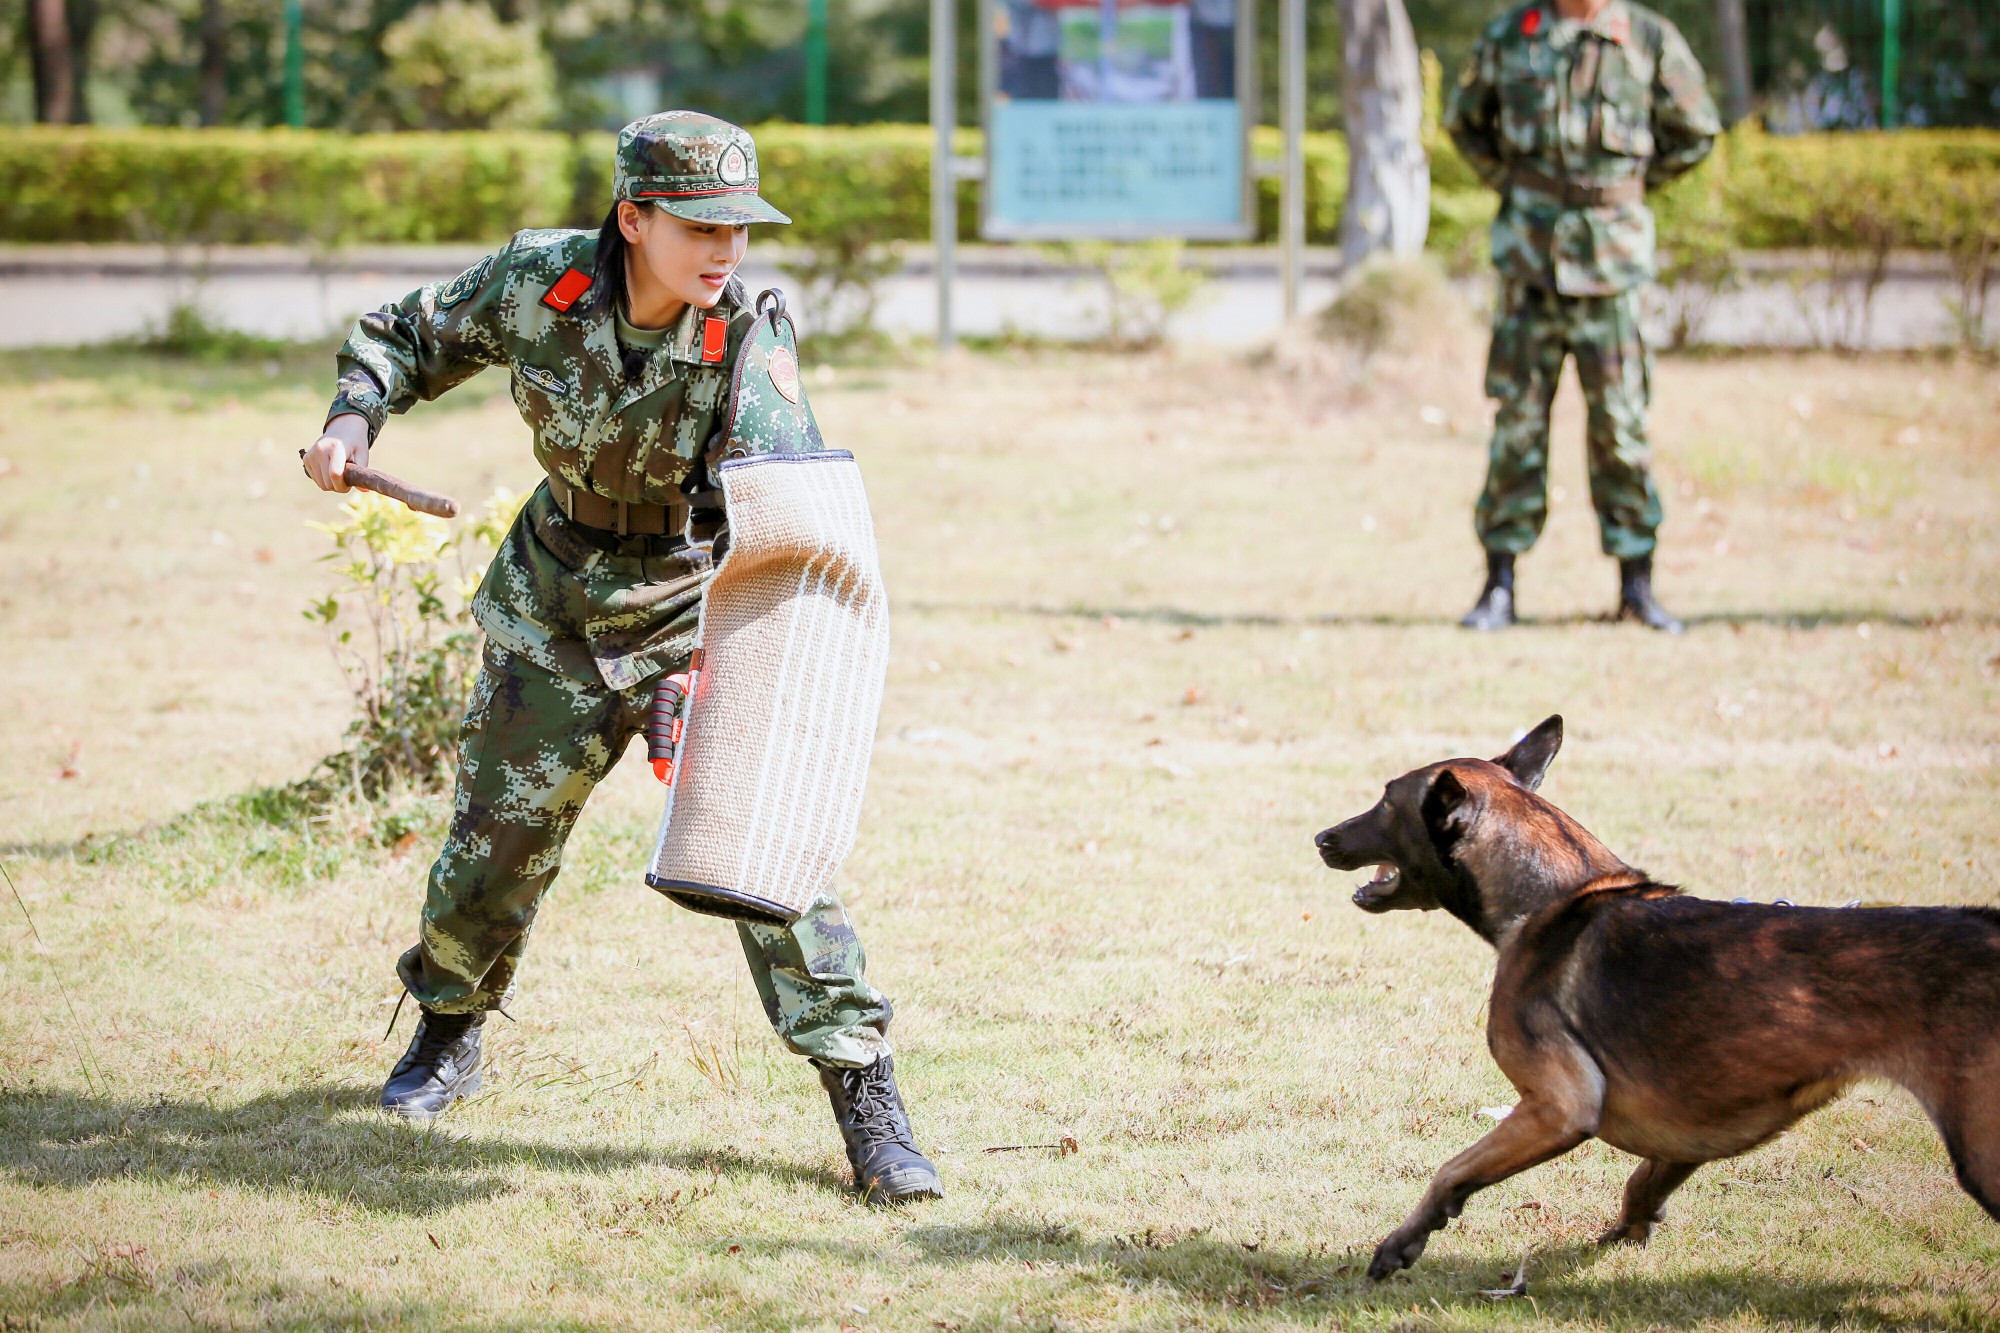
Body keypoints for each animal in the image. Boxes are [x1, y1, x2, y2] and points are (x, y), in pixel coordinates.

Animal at [1312, 716, 2000, 1280]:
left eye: (1385, 801)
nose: (1321, 837)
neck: (1553, 896)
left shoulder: (1557, 1106)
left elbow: (1452, 1168)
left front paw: (1403, 1242)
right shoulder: (1686, 1135)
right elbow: (1643, 1181)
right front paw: (1624, 1236)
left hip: (1983, 1153)